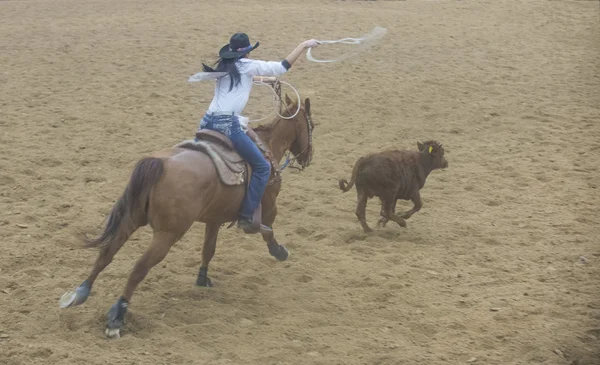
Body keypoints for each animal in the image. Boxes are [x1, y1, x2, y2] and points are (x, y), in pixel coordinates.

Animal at [58, 94, 316, 338]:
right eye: (312, 125)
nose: (308, 158)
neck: (268, 146)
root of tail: (157, 164)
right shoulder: (270, 203)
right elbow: (268, 230)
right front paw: (279, 251)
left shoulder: (214, 219)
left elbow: (208, 249)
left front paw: (202, 279)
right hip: (168, 234)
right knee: (139, 268)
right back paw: (117, 318)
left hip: (131, 220)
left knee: (106, 254)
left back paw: (79, 293)